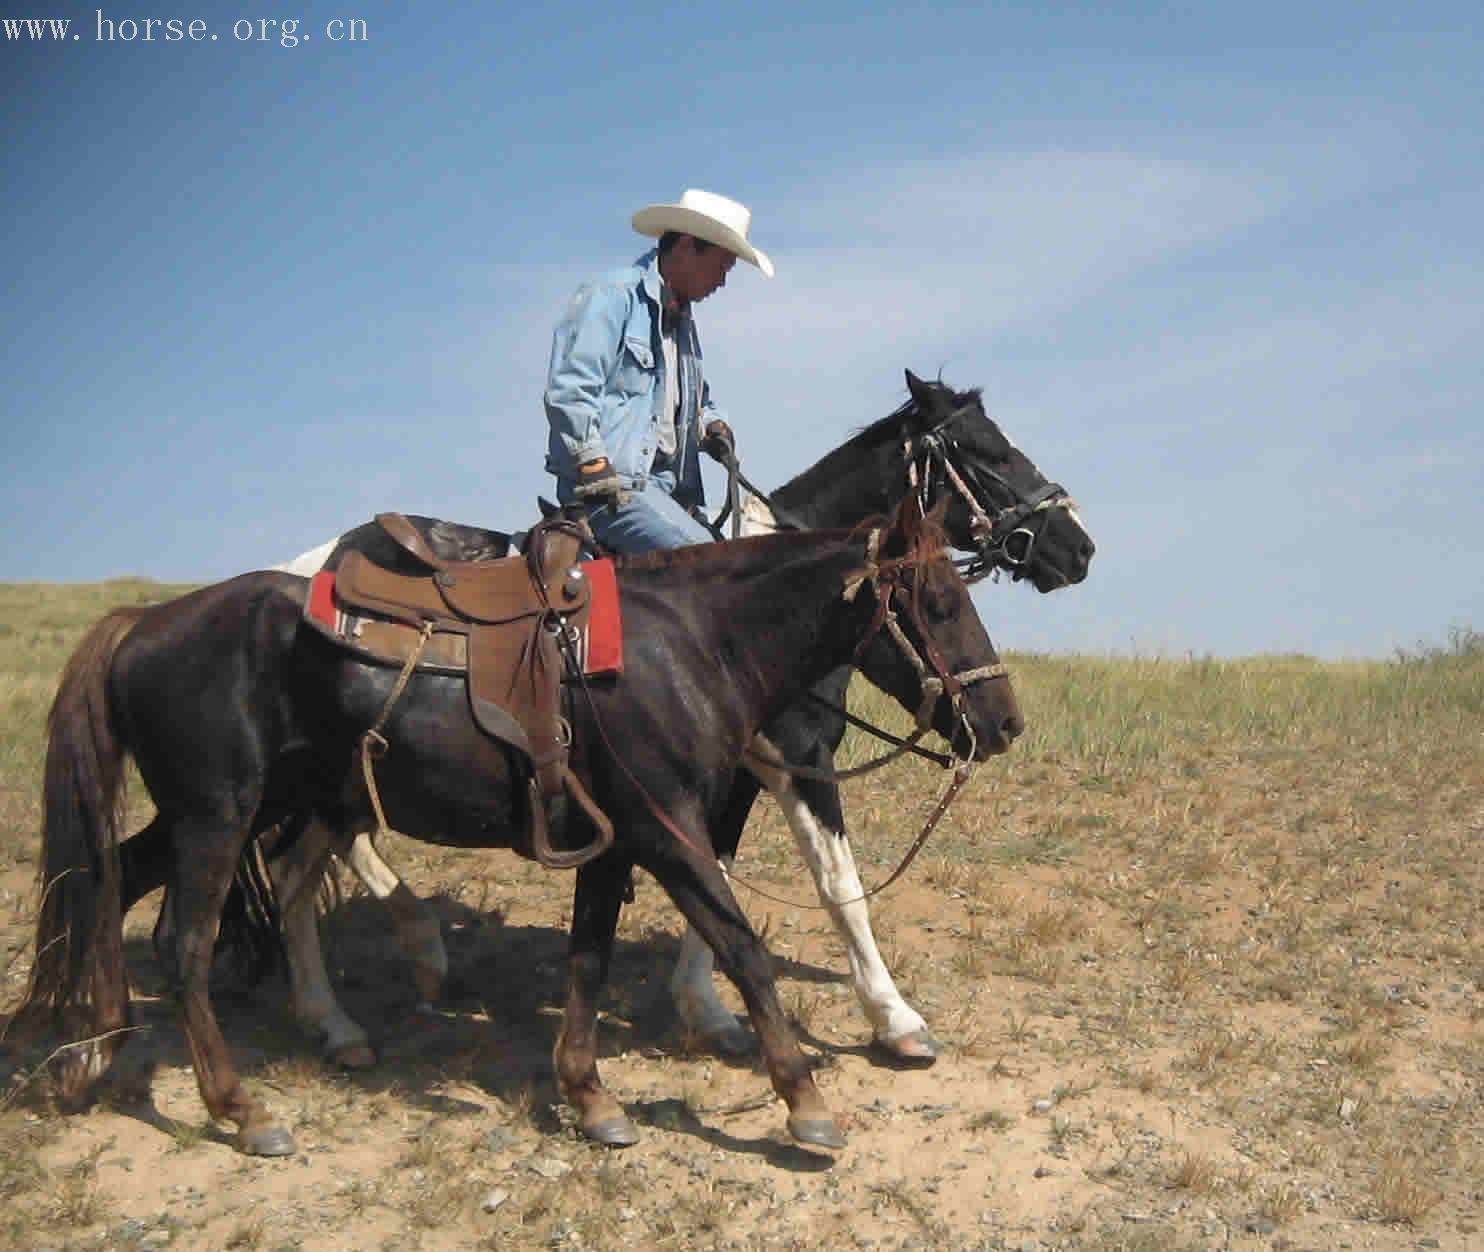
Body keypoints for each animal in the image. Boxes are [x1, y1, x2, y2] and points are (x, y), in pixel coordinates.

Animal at [14, 495, 1020, 1157]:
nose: (1004, 722)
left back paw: (94, 1053)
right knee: (183, 943)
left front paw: (591, 1096)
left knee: (109, 880)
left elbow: (588, 958)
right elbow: (744, 949)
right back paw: (241, 1107)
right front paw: (806, 1100)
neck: (690, 643)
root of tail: (147, 621)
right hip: (218, 817)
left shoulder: (616, 841)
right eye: (937, 605)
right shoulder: (668, 831)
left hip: (223, 812)